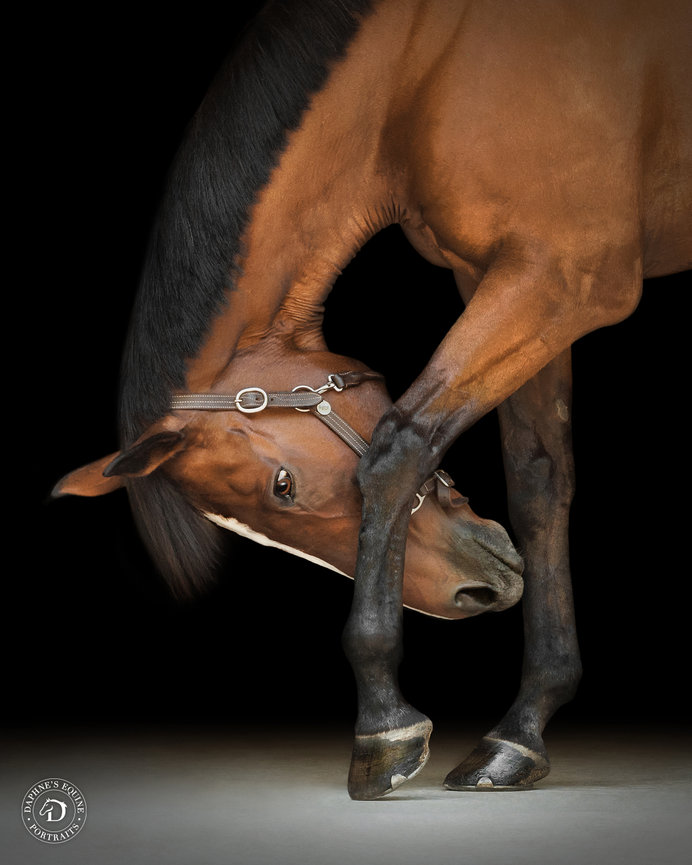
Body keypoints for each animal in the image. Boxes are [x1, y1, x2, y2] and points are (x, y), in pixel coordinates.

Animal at [53, 0, 691, 800]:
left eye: (284, 486)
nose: (474, 594)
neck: (425, 62)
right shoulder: (502, 277)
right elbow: (540, 481)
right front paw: (521, 730)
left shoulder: (568, 277)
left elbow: (399, 446)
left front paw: (384, 730)